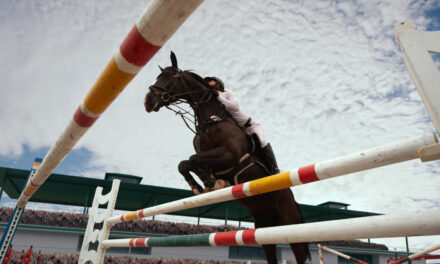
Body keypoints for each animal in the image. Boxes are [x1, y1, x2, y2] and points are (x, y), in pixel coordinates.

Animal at [144, 52, 310, 264]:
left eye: (169, 77)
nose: (148, 101)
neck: (210, 120)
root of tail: (292, 198)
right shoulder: (209, 157)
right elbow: (186, 163)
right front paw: (204, 184)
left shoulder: (230, 155)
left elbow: (192, 159)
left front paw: (207, 182)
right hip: (265, 228)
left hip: (291, 226)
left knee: (298, 252)